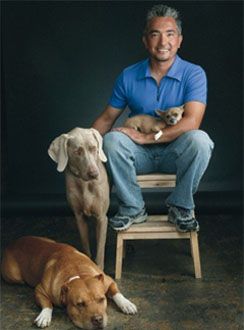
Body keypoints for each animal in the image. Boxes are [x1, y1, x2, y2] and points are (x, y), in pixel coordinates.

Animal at [0, 236, 136, 328]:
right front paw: (44, 315)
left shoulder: (108, 280)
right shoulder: (40, 290)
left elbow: (116, 292)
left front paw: (126, 304)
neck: (78, 272)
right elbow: (47, 304)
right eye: (80, 304)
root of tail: (13, 243)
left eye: (102, 299)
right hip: (14, 277)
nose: (98, 319)